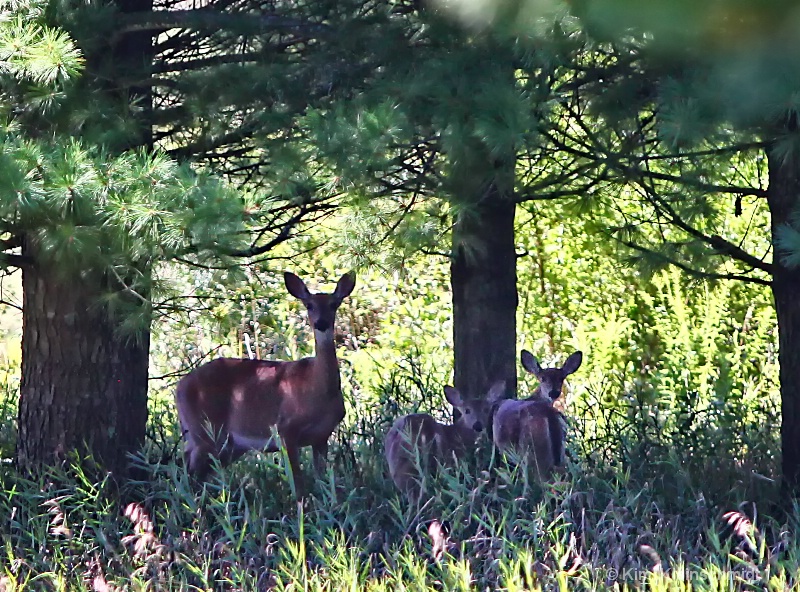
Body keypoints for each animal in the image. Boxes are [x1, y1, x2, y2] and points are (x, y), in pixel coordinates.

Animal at [177, 270, 354, 492]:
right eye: (309, 305)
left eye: (334, 304)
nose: (321, 323)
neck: (318, 388)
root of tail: (179, 386)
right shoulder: (285, 429)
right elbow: (298, 484)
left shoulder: (321, 436)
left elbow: (321, 480)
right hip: (204, 433)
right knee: (187, 474)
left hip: (220, 444)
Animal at [490, 352, 584, 480]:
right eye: (542, 378)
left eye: (561, 379)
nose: (554, 393)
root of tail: (549, 414)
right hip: (559, 451)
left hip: (531, 448)